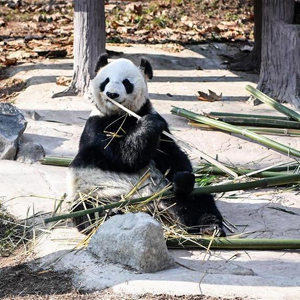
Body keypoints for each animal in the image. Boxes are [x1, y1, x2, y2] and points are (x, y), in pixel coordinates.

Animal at [68, 54, 225, 237]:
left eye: (126, 82)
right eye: (106, 81)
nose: (112, 94)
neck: (122, 115)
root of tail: (151, 207)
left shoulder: (157, 124)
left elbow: (172, 155)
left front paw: (182, 178)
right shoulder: (97, 126)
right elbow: (119, 156)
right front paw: (149, 125)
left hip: (166, 191)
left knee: (200, 201)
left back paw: (209, 226)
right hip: (96, 192)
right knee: (87, 210)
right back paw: (111, 214)